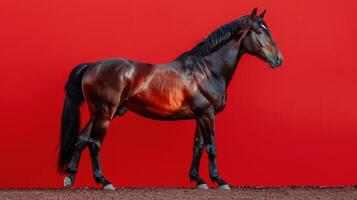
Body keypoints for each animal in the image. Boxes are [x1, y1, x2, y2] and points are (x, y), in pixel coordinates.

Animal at [57, 8, 280, 191]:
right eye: (259, 32)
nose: (278, 59)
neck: (207, 70)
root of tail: (91, 66)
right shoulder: (208, 115)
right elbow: (211, 147)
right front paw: (219, 180)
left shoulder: (200, 116)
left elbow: (198, 147)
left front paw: (198, 180)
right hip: (104, 114)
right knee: (94, 143)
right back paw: (104, 181)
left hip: (97, 114)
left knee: (81, 139)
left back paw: (70, 177)